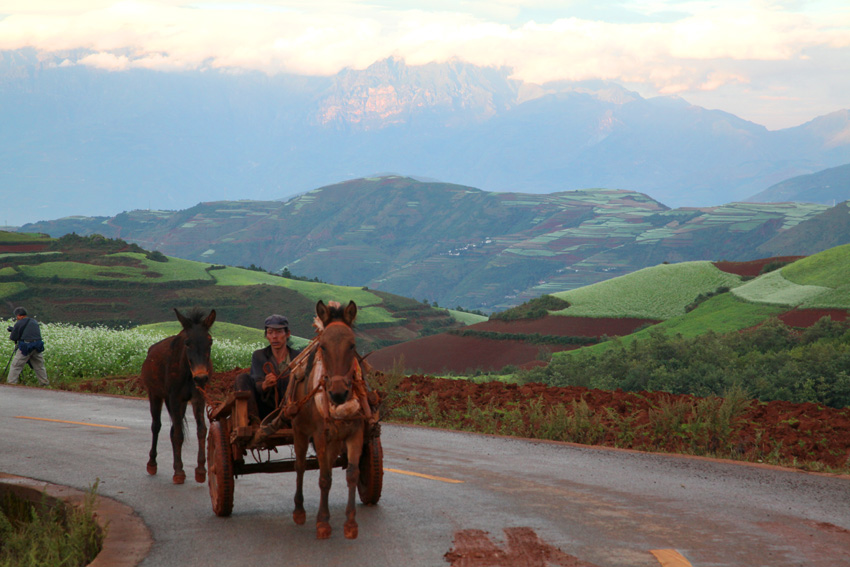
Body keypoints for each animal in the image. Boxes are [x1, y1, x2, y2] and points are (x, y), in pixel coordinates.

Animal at [142, 308, 215, 486]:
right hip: (155, 395)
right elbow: (178, 435)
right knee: (156, 426)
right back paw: (152, 463)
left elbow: (201, 430)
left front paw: (200, 470)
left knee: (174, 427)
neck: (188, 373)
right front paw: (179, 472)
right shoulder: (174, 398)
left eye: (210, 342)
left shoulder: (198, 398)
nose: (201, 378)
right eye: (187, 342)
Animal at [290, 300, 366, 540]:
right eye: (323, 346)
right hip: (300, 432)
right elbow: (324, 478)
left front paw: (350, 523)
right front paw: (323, 522)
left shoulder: (355, 434)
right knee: (300, 466)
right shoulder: (321, 436)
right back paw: (299, 510)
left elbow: (352, 474)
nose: (338, 393)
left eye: (352, 345)